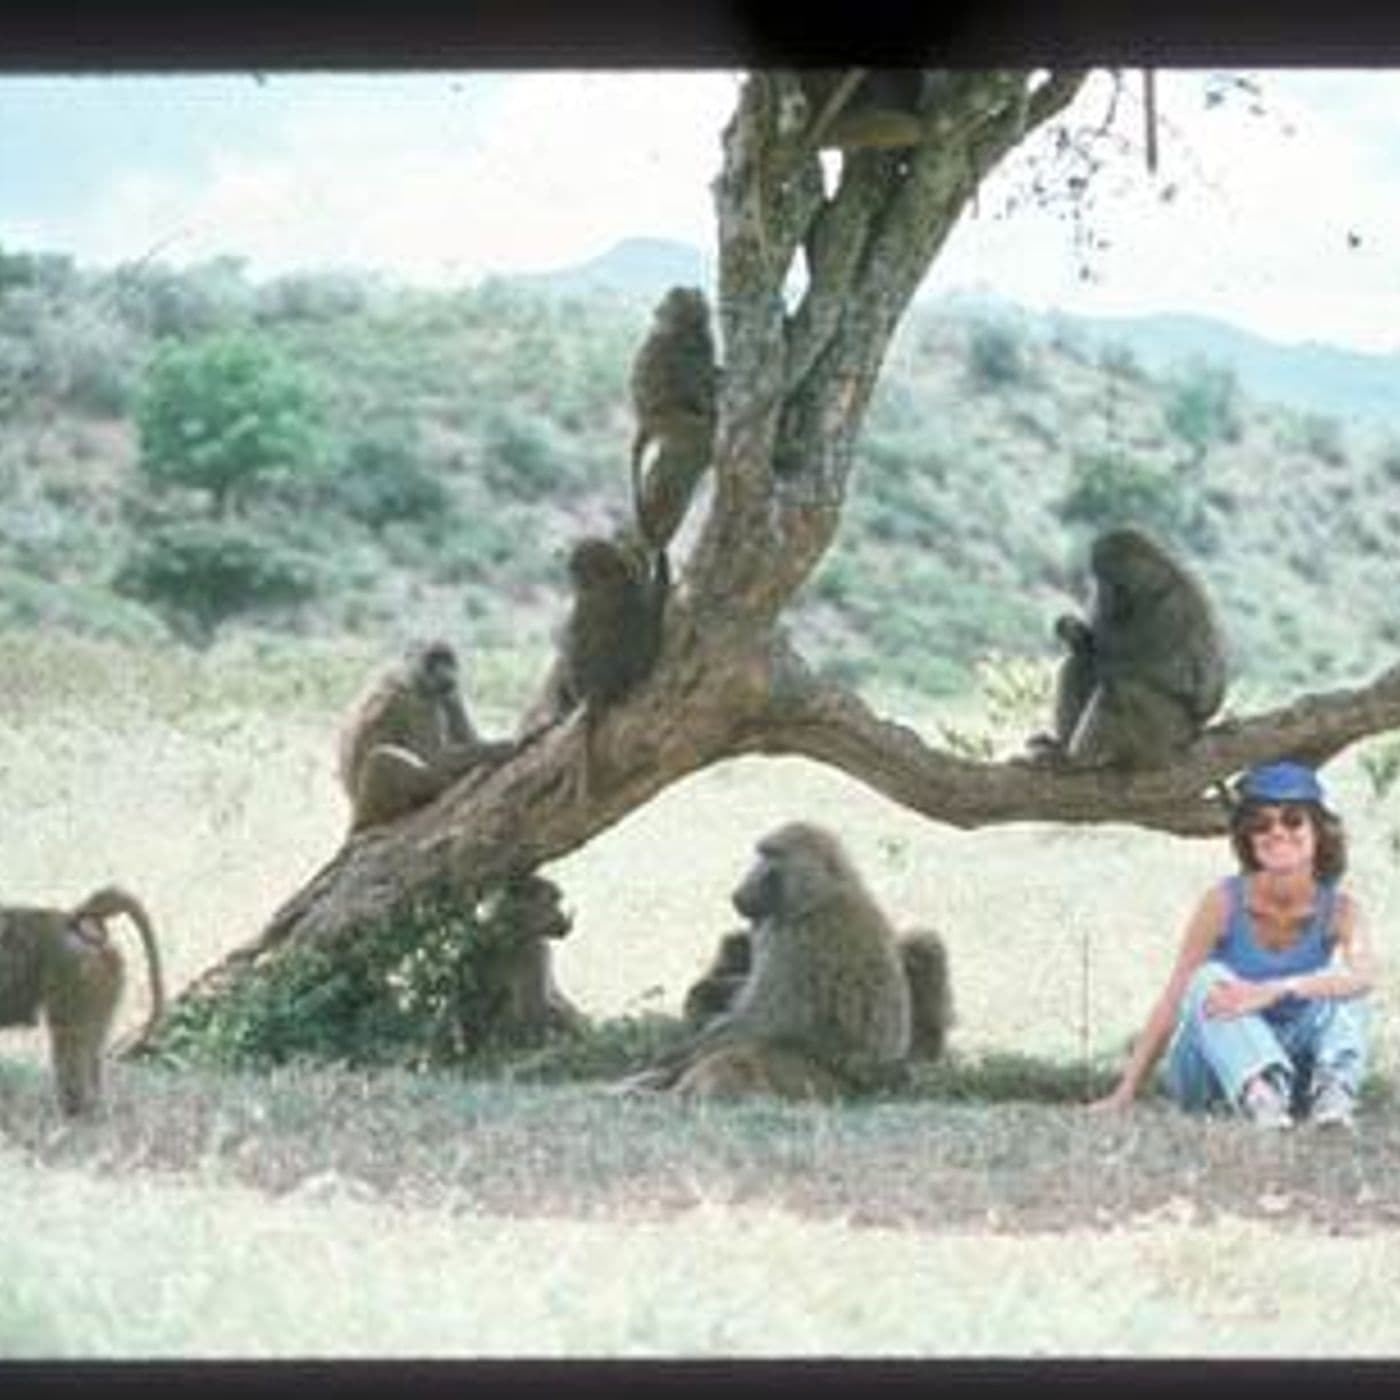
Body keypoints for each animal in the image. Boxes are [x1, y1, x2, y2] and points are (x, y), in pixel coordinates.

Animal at [0, 886, 164, 1115]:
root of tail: (68, 921)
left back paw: (73, 1111)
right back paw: (94, 1107)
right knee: (91, 1047)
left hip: (76, 977)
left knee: (70, 1044)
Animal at [339, 639, 515, 833]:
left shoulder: (450, 694)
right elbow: (435, 757)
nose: (446, 672)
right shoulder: (416, 703)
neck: (411, 676)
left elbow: (468, 739)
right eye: (434, 659)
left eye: (448, 660)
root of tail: (357, 812)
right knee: (382, 759)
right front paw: (499, 748)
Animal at [626, 823, 911, 1102]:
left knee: (740, 1055)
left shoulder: (793, 938)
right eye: (760, 854)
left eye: (772, 858)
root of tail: (872, 1084)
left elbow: (762, 1021)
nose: (741, 889)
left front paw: (667, 1063)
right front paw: (707, 992)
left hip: (813, 1080)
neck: (818, 897)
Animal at [629, 287, 719, 555]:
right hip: (668, 420)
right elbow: (696, 386)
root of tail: (645, 420)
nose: (658, 310)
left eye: (672, 297)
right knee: (699, 433)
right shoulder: (681, 355)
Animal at [1029, 526, 1227, 769]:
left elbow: (1182, 679)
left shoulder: (1173, 609)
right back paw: (1062, 745)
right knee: (1078, 665)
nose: (1102, 594)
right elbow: (1090, 650)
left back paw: (1075, 760)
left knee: (1118, 689)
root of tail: (1192, 734)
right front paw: (1075, 632)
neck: (1149, 591)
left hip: (1169, 733)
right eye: (1098, 580)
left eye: (1109, 579)